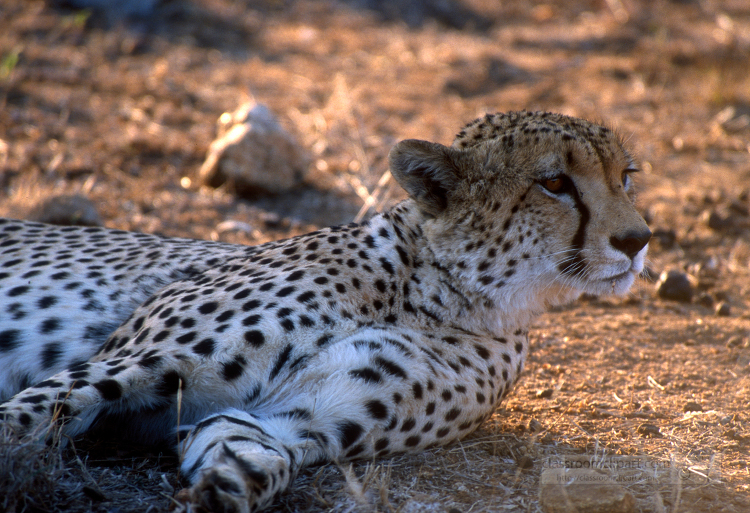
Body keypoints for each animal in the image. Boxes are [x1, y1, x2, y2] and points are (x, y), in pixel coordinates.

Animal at [0, 110, 652, 510]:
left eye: (625, 176)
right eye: (554, 183)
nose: (638, 240)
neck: (437, 292)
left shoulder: (294, 420)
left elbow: (251, 451)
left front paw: (226, 488)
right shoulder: (128, 360)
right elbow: (26, 418)